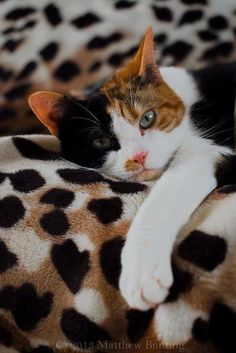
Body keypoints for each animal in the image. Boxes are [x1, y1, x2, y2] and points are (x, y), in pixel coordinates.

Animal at [29, 26, 236, 308]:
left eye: (147, 118)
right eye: (102, 141)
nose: (139, 156)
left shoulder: (205, 147)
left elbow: (165, 195)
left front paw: (142, 273)